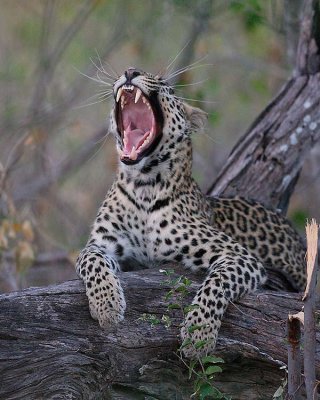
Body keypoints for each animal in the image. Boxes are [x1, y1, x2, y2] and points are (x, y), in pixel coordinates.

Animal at [75, 66, 308, 360]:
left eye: (165, 84)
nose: (130, 71)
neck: (143, 185)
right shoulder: (104, 246)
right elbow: (91, 259)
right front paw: (107, 304)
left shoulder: (240, 257)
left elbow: (217, 283)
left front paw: (199, 334)